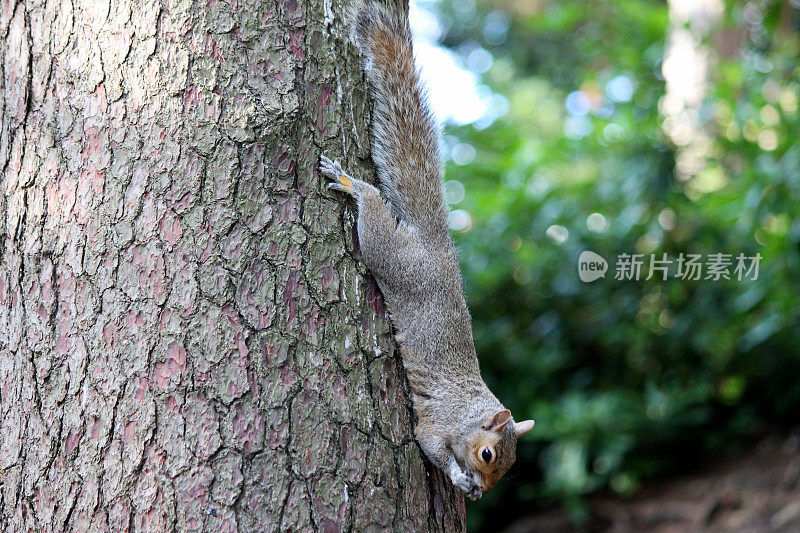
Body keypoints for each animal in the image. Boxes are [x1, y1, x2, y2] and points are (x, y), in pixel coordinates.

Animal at [318, 0, 532, 500]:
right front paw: (457, 477)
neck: (468, 413)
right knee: (374, 217)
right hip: (393, 257)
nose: (481, 490)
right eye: (487, 454)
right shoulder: (436, 424)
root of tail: (437, 242)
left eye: (508, 467)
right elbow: (429, 445)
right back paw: (351, 183)